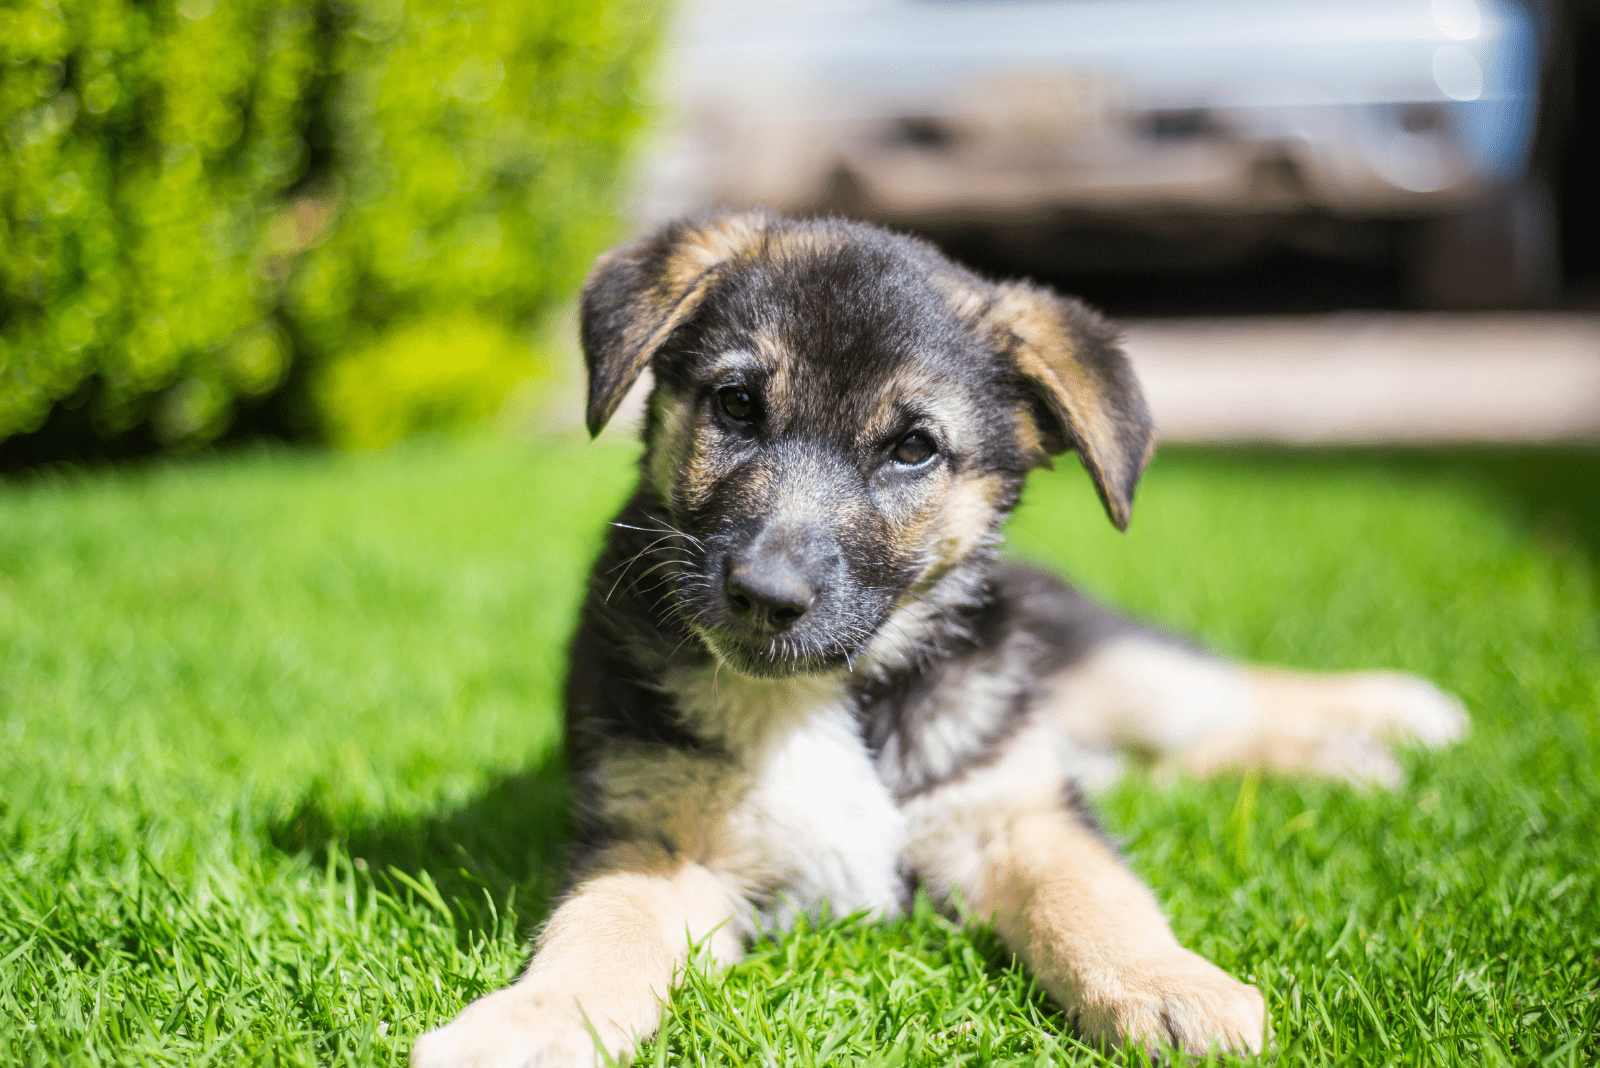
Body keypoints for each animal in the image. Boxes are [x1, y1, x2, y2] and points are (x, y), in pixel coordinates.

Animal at [409, 212, 1465, 1061]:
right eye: (736, 405)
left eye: (913, 448)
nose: (763, 595)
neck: (829, 695)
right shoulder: (656, 839)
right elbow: (602, 930)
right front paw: (530, 1024)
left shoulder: (1015, 813)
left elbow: (1095, 898)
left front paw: (1170, 986)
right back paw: (1352, 756)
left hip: (1109, 682)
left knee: (1219, 694)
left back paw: (1388, 714)